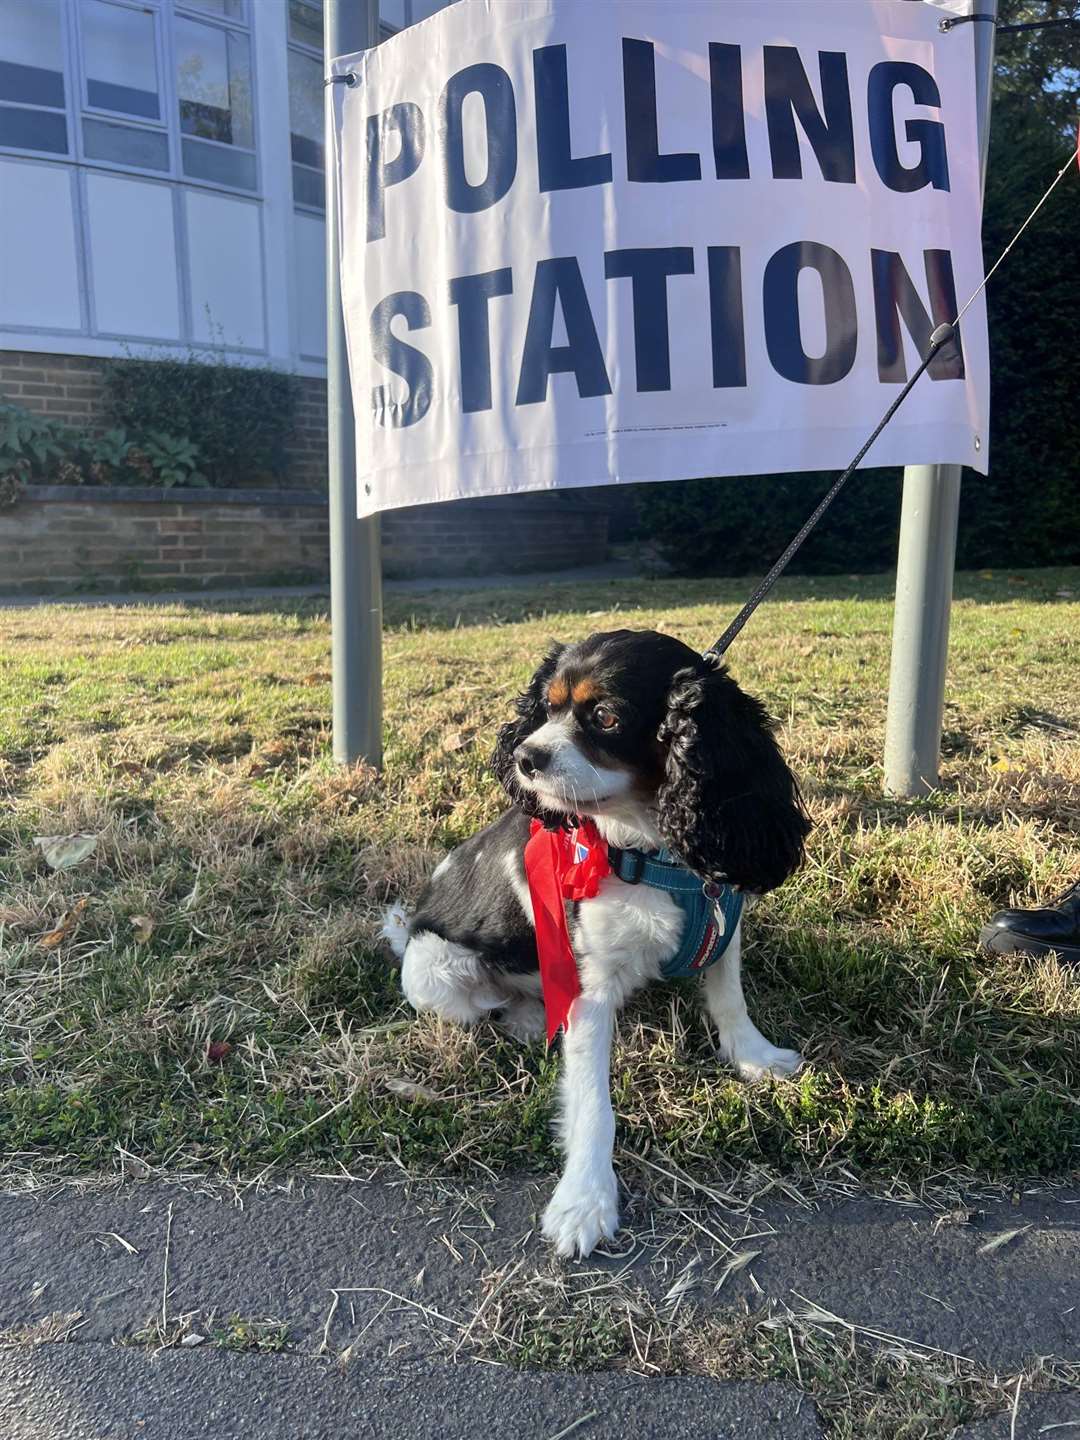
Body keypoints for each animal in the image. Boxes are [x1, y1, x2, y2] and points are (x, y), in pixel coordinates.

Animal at [383, 630, 812, 1261]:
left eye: (605, 717)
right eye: (547, 708)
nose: (525, 757)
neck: (653, 848)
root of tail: (411, 923)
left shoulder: (725, 919)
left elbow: (729, 998)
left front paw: (755, 1056)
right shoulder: (588, 988)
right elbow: (592, 1104)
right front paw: (584, 1201)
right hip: (434, 972)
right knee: (487, 1005)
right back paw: (529, 1019)